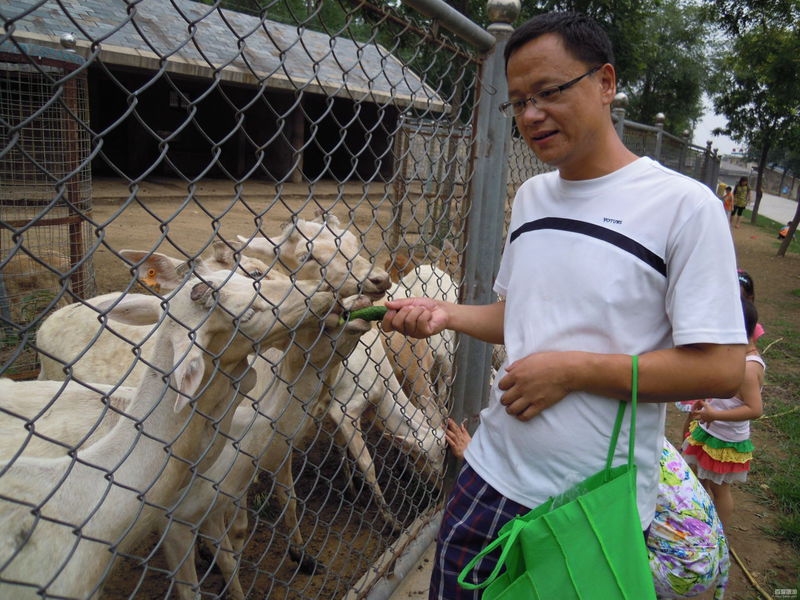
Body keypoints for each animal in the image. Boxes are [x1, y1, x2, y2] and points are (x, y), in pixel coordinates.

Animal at [161, 294, 376, 600]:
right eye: (322, 320)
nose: (361, 298)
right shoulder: (182, 515)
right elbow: (233, 538)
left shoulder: (276, 456)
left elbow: (289, 499)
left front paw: (305, 559)